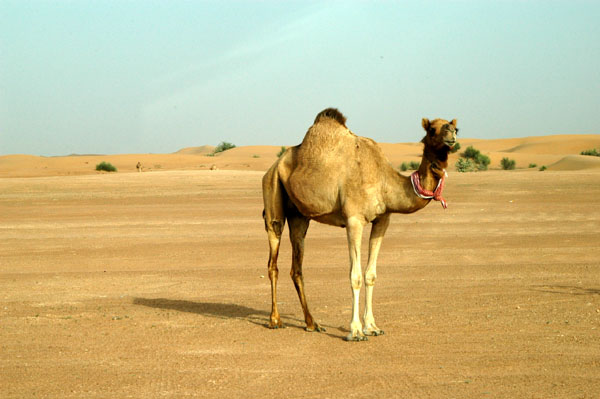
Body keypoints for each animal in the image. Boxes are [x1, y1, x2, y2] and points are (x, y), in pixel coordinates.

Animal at [260, 108, 458, 342]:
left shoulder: (383, 219)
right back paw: (275, 320)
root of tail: (273, 166)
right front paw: (355, 331)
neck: (384, 180)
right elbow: (354, 276)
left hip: (300, 216)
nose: (451, 134)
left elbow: (370, 275)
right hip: (272, 191)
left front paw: (372, 326)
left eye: (455, 127)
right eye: (432, 129)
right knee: (273, 260)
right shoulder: (354, 220)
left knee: (296, 267)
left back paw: (312, 323)